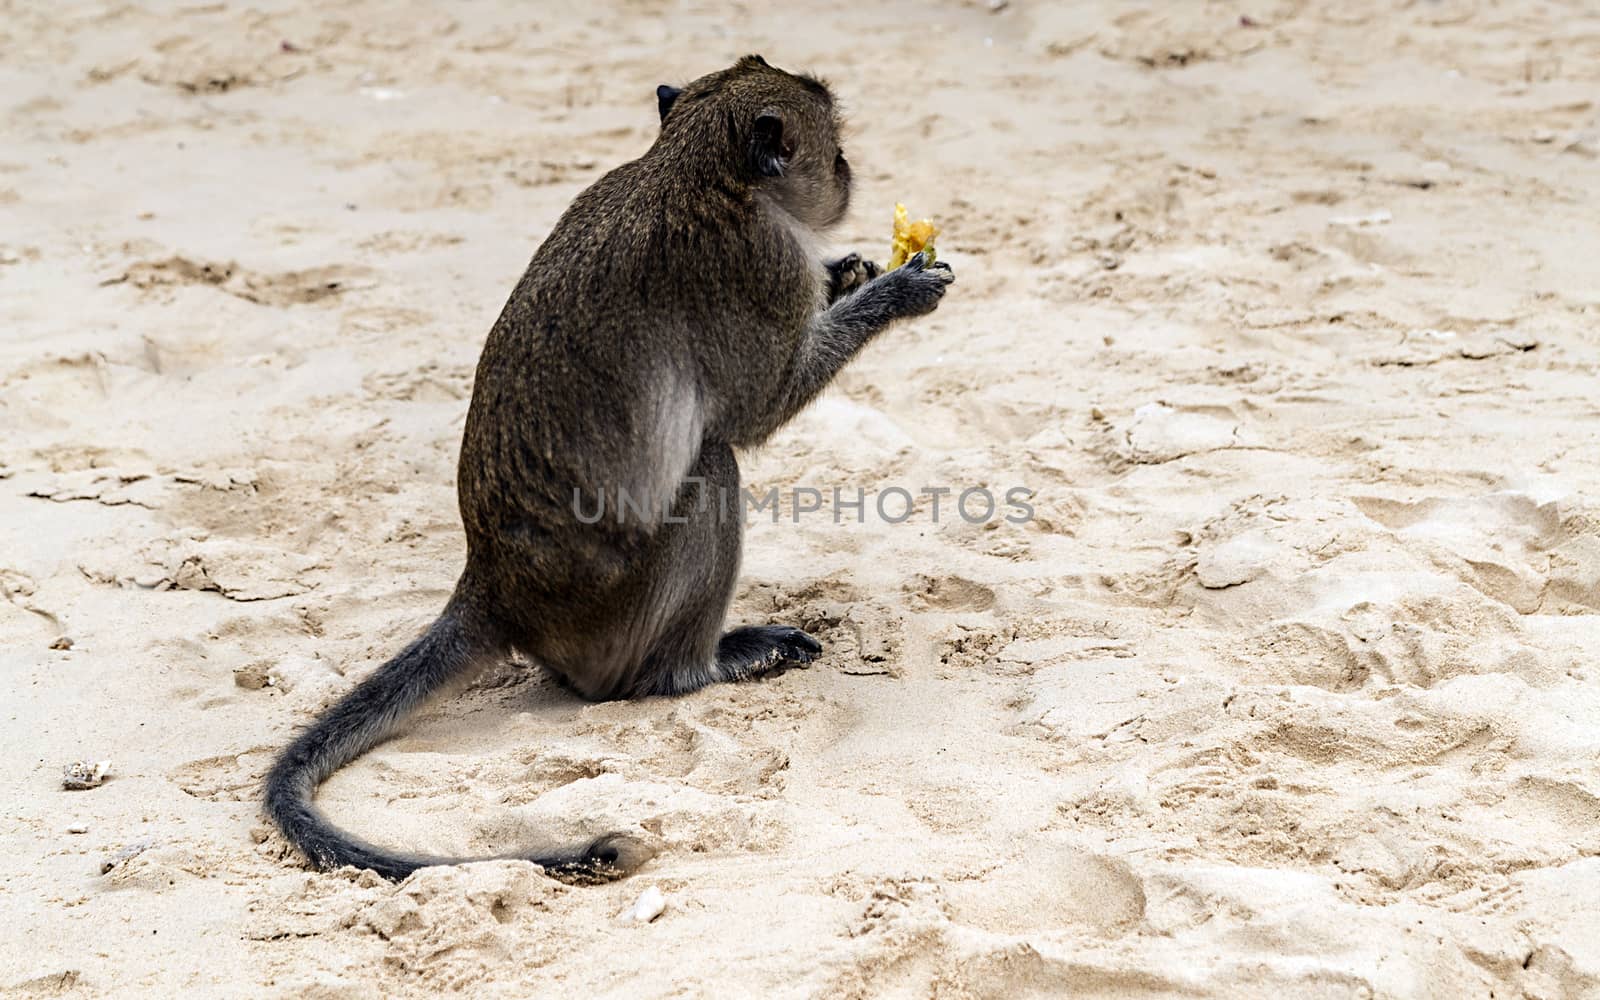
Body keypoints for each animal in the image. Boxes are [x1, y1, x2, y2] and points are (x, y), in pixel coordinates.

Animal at [265, 54, 947, 883]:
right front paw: (893, 291)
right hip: (614, 616)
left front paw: (850, 270)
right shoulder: (760, 267)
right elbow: (754, 416)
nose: (848, 175)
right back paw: (693, 668)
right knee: (710, 467)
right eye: (835, 150)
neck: (690, 168)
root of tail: (492, 585)